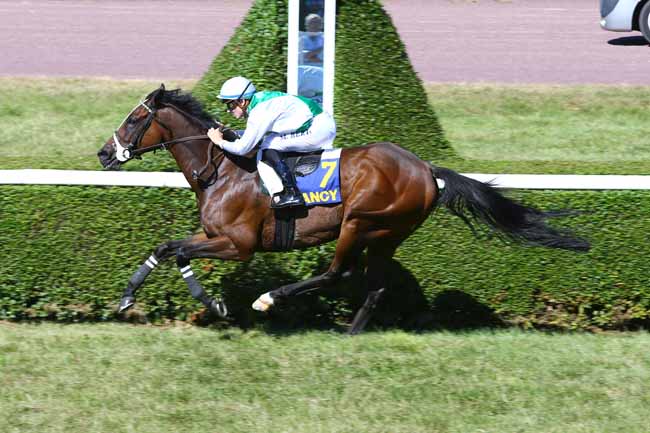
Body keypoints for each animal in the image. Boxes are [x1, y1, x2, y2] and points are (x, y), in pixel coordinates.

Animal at [97, 84, 590, 334]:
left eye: (134, 119)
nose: (104, 153)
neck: (222, 170)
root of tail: (427, 169)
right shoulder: (215, 237)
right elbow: (165, 247)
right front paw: (126, 297)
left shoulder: (238, 244)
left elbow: (180, 252)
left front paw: (216, 304)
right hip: (389, 235)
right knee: (375, 285)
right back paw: (352, 332)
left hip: (360, 221)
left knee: (339, 273)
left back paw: (270, 299)